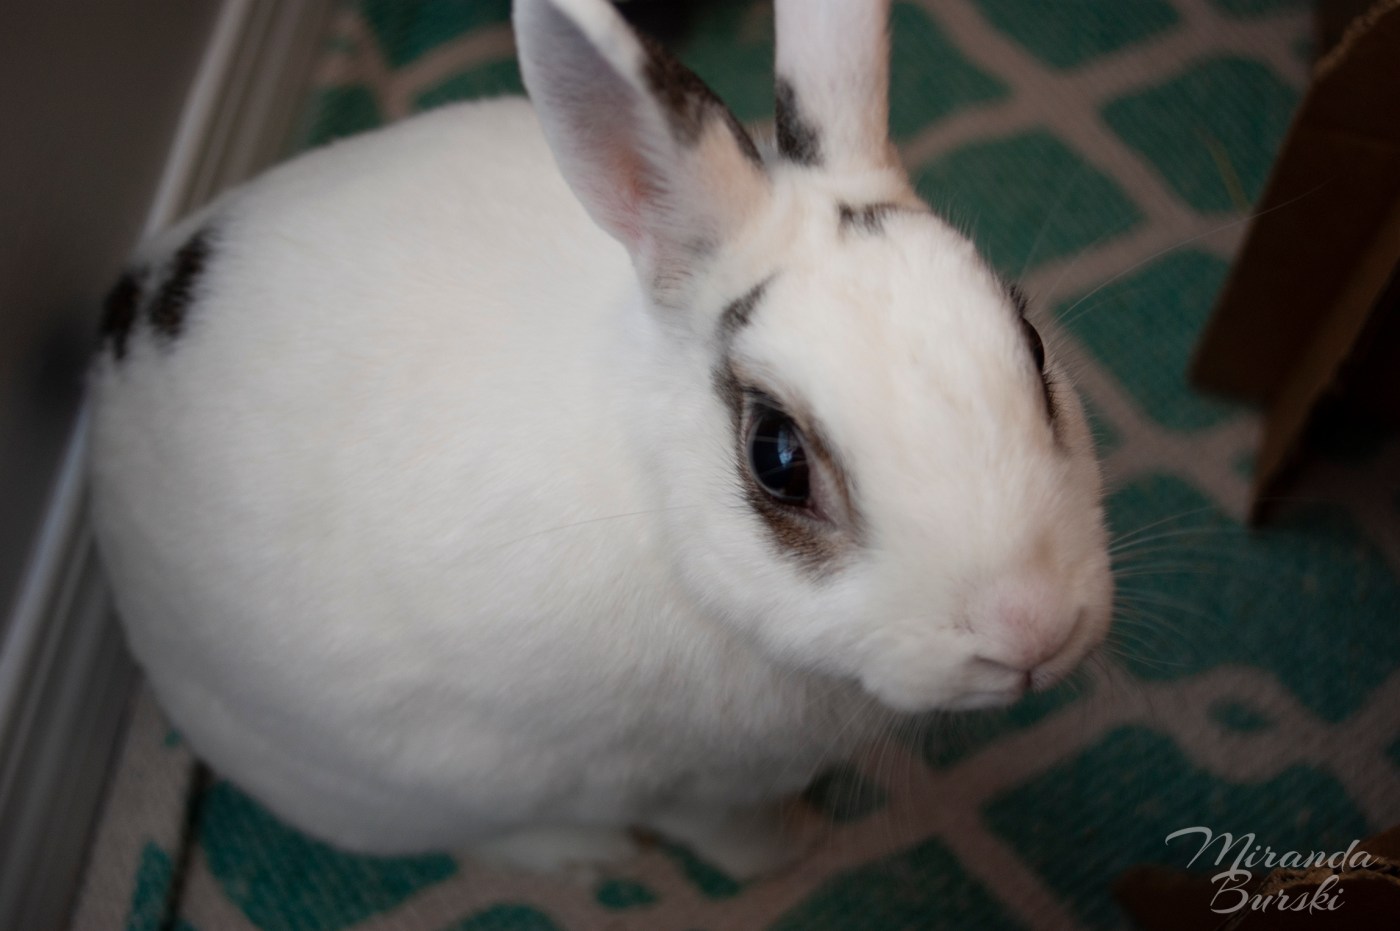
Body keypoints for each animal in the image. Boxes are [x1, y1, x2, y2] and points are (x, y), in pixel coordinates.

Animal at [87, 0, 1114, 876]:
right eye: (776, 458)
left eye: (1030, 343)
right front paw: (798, 854)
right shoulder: (681, 785)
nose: (1030, 630)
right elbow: (735, 835)